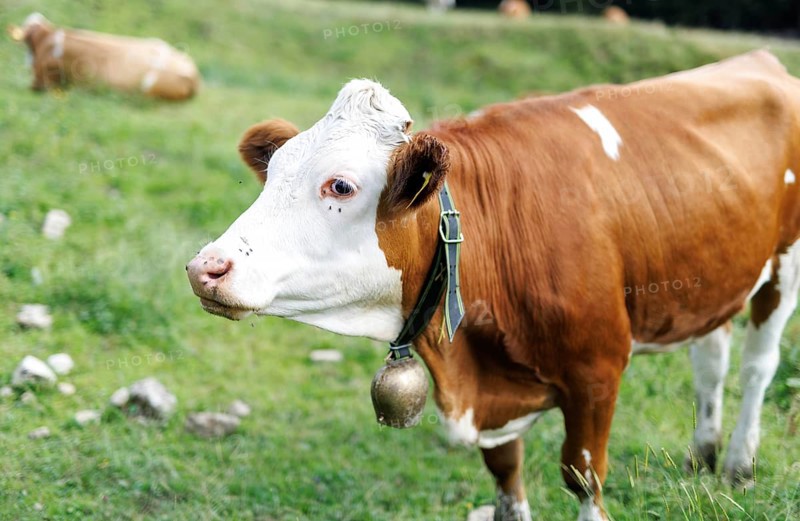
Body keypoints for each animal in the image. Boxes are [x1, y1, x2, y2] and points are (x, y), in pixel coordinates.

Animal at [186, 51, 800, 520]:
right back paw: (703, 452)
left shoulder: (598, 371)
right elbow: (507, 478)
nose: (206, 267)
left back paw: (739, 463)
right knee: (711, 358)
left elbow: (585, 478)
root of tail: (758, 60)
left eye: (340, 185)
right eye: (274, 171)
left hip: (784, 267)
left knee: (757, 365)